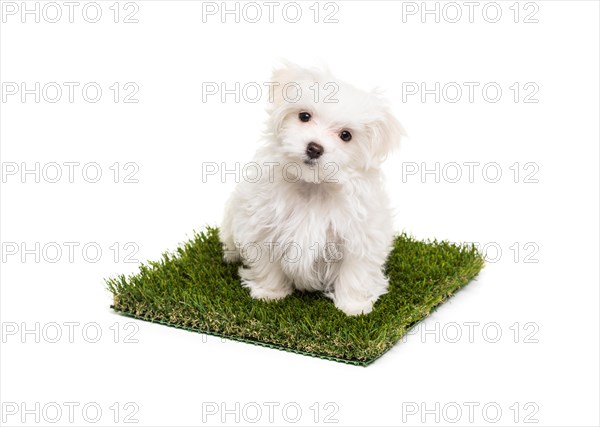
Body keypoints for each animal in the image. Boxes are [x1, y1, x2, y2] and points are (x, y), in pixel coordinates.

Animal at [219, 64, 404, 318]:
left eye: (346, 135)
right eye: (304, 116)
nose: (315, 148)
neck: (313, 185)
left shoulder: (360, 234)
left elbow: (355, 271)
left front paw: (353, 306)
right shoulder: (262, 223)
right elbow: (267, 262)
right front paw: (270, 292)